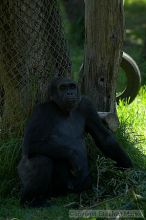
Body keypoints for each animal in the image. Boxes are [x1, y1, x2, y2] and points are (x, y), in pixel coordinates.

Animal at [17, 78, 132, 208]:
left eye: (72, 86)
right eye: (62, 88)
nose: (70, 93)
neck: (62, 109)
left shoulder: (87, 105)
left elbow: (104, 137)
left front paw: (126, 165)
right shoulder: (41, 111)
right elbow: (31, 144)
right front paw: (74, 156)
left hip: (74, 187)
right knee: (40, 159)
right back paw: (30, 201)